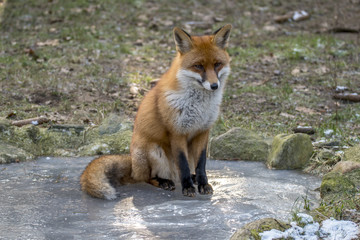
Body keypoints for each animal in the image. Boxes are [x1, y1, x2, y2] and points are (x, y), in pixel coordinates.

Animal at [80, 24, 232, 199]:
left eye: (217, 64)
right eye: (199, 66)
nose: (214, 86)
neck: (199, 106)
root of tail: (132, 164)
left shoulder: (202, 131)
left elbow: (201, 165)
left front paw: (203, 184)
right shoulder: (177, 132)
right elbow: (183, 165)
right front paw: (188, 187)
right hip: (153, 149)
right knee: (148, 177)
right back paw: (165, 182)